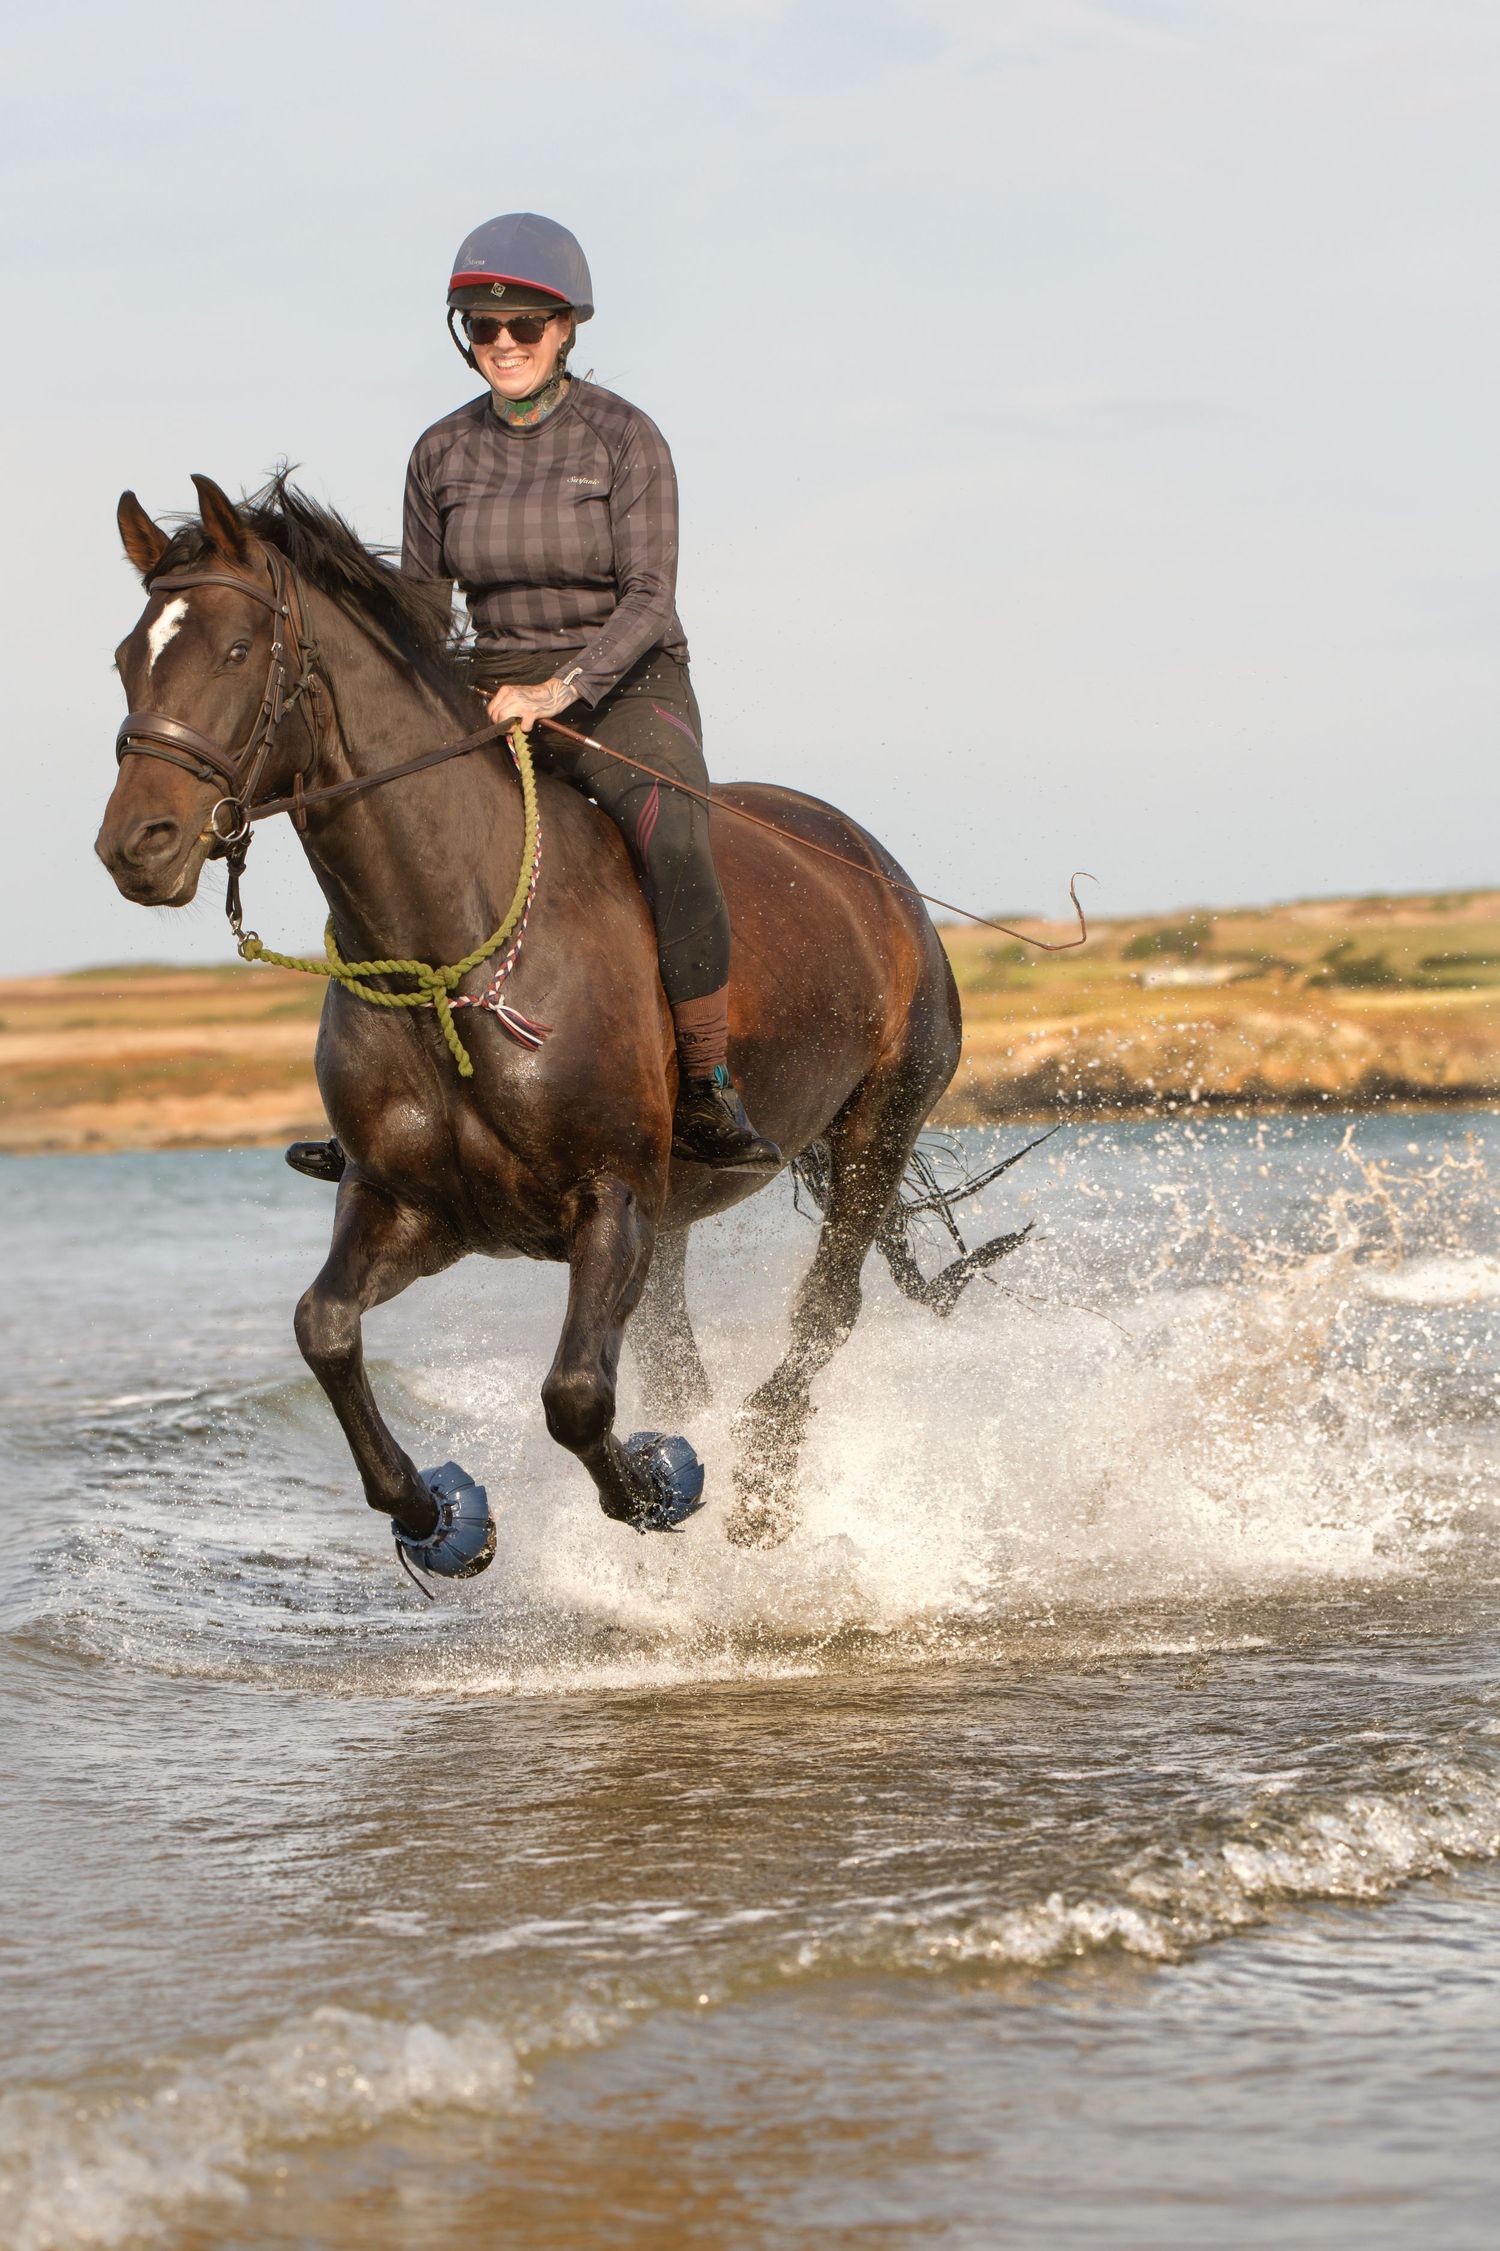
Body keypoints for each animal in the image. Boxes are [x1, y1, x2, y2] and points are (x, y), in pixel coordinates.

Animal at [95, 473, 1030, 1577]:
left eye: (238, 651)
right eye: (128, 657)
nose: (136, 846)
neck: (446, 952)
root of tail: (876, 871)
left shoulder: (609, 1197)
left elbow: (576, 1396)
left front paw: (659, 1486)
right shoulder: (409, 1205)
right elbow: (323, 1327)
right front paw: (436, 1515)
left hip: (875, 1128)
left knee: (824, 1314)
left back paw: (760, 1488)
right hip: (690, 1208)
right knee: (683, 1344)